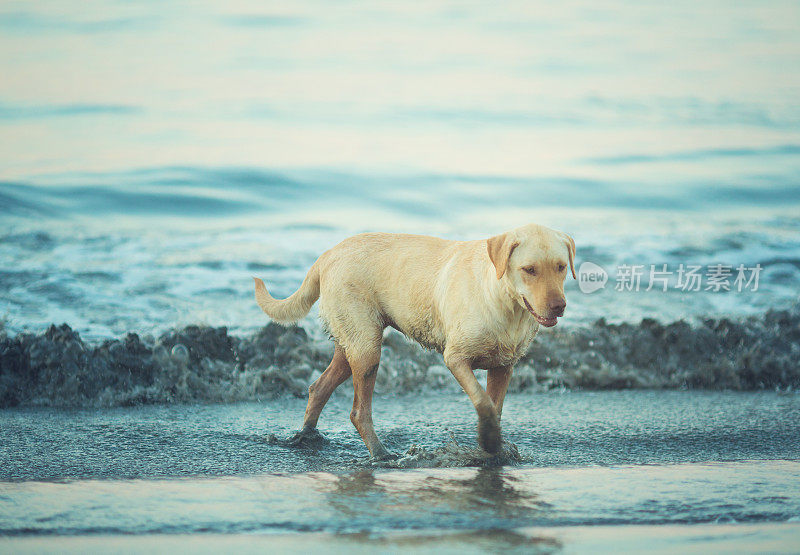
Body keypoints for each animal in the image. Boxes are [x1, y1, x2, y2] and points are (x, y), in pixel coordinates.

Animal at [255, 224, 576, 458]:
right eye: (529, 269)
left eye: (561, 267)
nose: (559, 306)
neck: (505, 301)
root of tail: (328, 255)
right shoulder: (456, 358)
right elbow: (482, 401)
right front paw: (489, 439)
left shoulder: (503, 366)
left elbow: (494, 407)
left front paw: (492, 444)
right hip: (366, 347)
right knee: (359, 412)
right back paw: (381, 454)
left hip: (351, 345)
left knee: (319, 387)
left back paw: (307, 435)